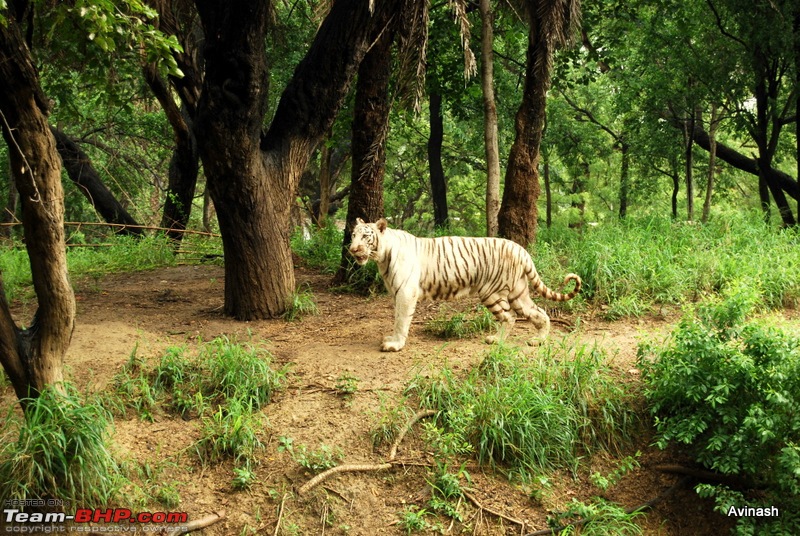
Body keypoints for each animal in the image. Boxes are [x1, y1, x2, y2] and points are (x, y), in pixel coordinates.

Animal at [346, 218, 580, 352]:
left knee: (509, 317)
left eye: (365, 237)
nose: (352, 249)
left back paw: (496, 340)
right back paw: (538, 341)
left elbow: (401, 320)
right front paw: (392, 339)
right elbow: (397, 319)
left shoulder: (405, 293)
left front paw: (395, 345)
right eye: (353, 235)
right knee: (538, 312)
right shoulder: (397, 293)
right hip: (518, 292)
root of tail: (521, 250)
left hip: (491, 292)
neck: (381, 256)